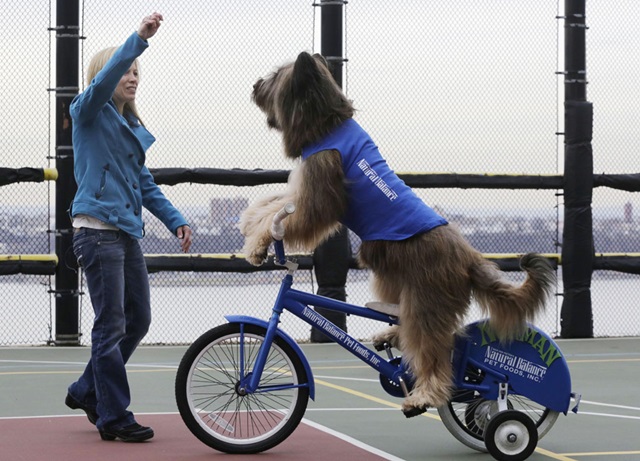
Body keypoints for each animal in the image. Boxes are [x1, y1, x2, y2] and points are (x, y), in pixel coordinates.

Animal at [240, 52, 556, 416]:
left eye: (276, 75)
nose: (254, 85)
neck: (328, 123)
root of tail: (469, 258)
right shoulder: (303, 189)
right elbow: (272, 203)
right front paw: (249, 224)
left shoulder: (319, 195)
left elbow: (292, 214)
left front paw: (258, 244)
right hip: (394, 275)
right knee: (406, 322)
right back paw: (392, 335)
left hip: (426, 299)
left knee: (434, 350)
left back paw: (425, 394)